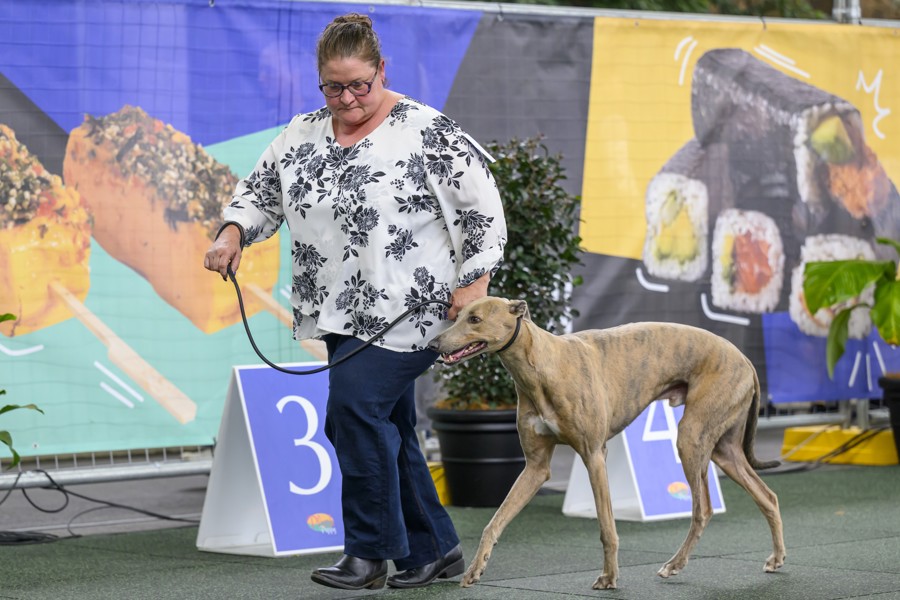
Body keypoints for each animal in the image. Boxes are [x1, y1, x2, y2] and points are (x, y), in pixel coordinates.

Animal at [428, 297, 785, 590]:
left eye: (475, 319)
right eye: (457, 315)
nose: (433, 343)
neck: (542, 365)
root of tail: (746, 360)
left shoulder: (594, 455)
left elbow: (606, 527)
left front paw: (609, 577)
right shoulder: (535, 468)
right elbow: (495, 521)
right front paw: (474, 569)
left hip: (691, 437)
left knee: (704, 509)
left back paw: (674, 565)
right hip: (724, 450)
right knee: (767, 496)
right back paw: (776, 558)